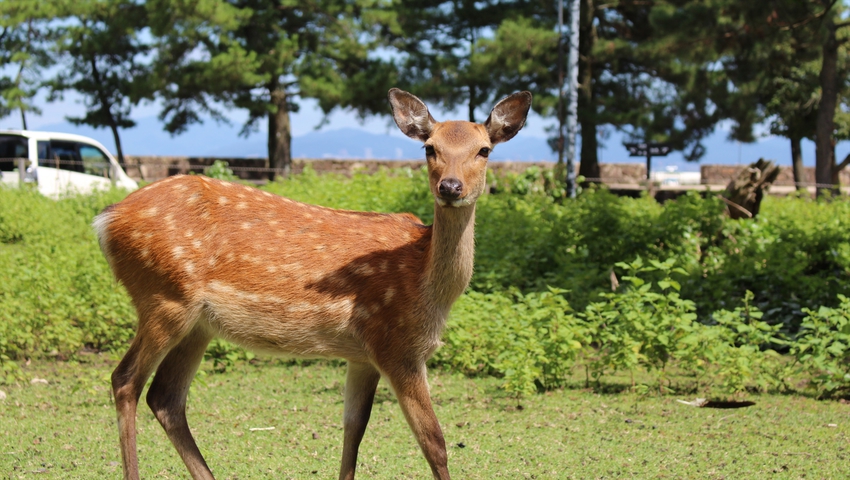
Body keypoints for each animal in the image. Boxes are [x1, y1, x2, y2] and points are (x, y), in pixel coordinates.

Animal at [93, 87, 528, 480]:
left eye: (484, 150)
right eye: (429, 148)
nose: (450, 187)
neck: (427, 284)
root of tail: (106, 220)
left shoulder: (362, 354)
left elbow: (354, 431)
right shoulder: (396, 343)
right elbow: (435, 442)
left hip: (198, 324)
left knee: (165, 397)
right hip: (162, 296)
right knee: (125, 381)